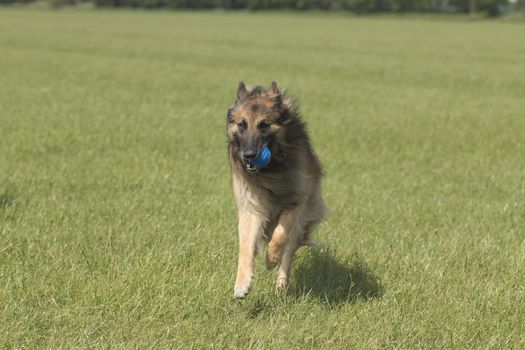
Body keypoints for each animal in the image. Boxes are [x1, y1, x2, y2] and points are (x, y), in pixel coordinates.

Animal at [226, 82, 326, 298]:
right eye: (242, 124)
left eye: (263, 124)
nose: (249, 155)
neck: (272, 169)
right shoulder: (251, 208)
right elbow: (245, 248)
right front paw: (242, 284)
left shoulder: (297, 201)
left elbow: (280, 234)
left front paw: (270, 258)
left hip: (302, 221)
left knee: (288, 253)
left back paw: (280, 286)